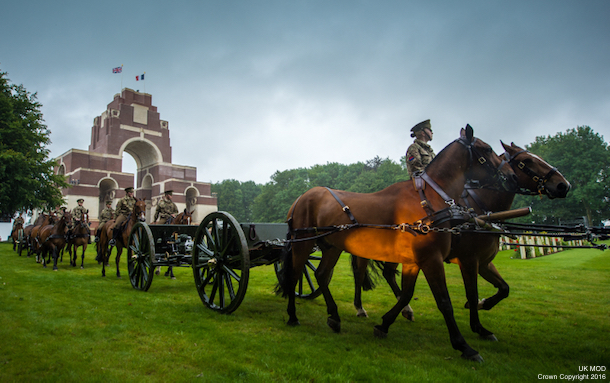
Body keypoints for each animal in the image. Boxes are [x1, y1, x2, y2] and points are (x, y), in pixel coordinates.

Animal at [278, 127, 516, 364]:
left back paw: (334, 316)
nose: (511, 175)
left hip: (331, 246)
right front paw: (464, 346)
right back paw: (292, 315)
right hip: (303, 244)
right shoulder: (435, 259)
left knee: (321, 274)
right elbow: (444, 301)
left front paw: (384, 324)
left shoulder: (414, 261)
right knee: (295, 274)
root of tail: (301, 198)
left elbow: (407, 293)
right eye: (487, 149)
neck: (429, 200)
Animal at [350, 142, 568, 340]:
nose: (563, 185)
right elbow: (472, 292)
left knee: (387, 274)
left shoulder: (483, 262)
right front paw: (478, 324)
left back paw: (405, 310)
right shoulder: (469, 259)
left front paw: (482, 305)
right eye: (526, 161)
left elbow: (504, 288)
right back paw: (361, 308)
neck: (479, 208)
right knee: (361, 274)